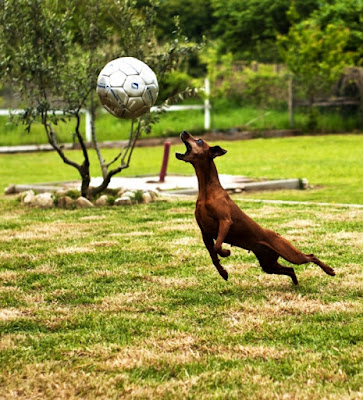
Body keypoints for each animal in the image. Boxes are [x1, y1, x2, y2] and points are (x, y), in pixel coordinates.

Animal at [175, 131, 336, 284]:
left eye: (199, 140)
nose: (184, 132)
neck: (207, 191)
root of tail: (277, 234)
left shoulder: (225, 221)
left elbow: (217, 246)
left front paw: (225, 253)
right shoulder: (205, 233)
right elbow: (213, 255)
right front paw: (223, 273)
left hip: (290, 254)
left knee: (310, 256)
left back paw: (329, 271)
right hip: (268, 265)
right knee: (290, 269)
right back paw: (295, 283)